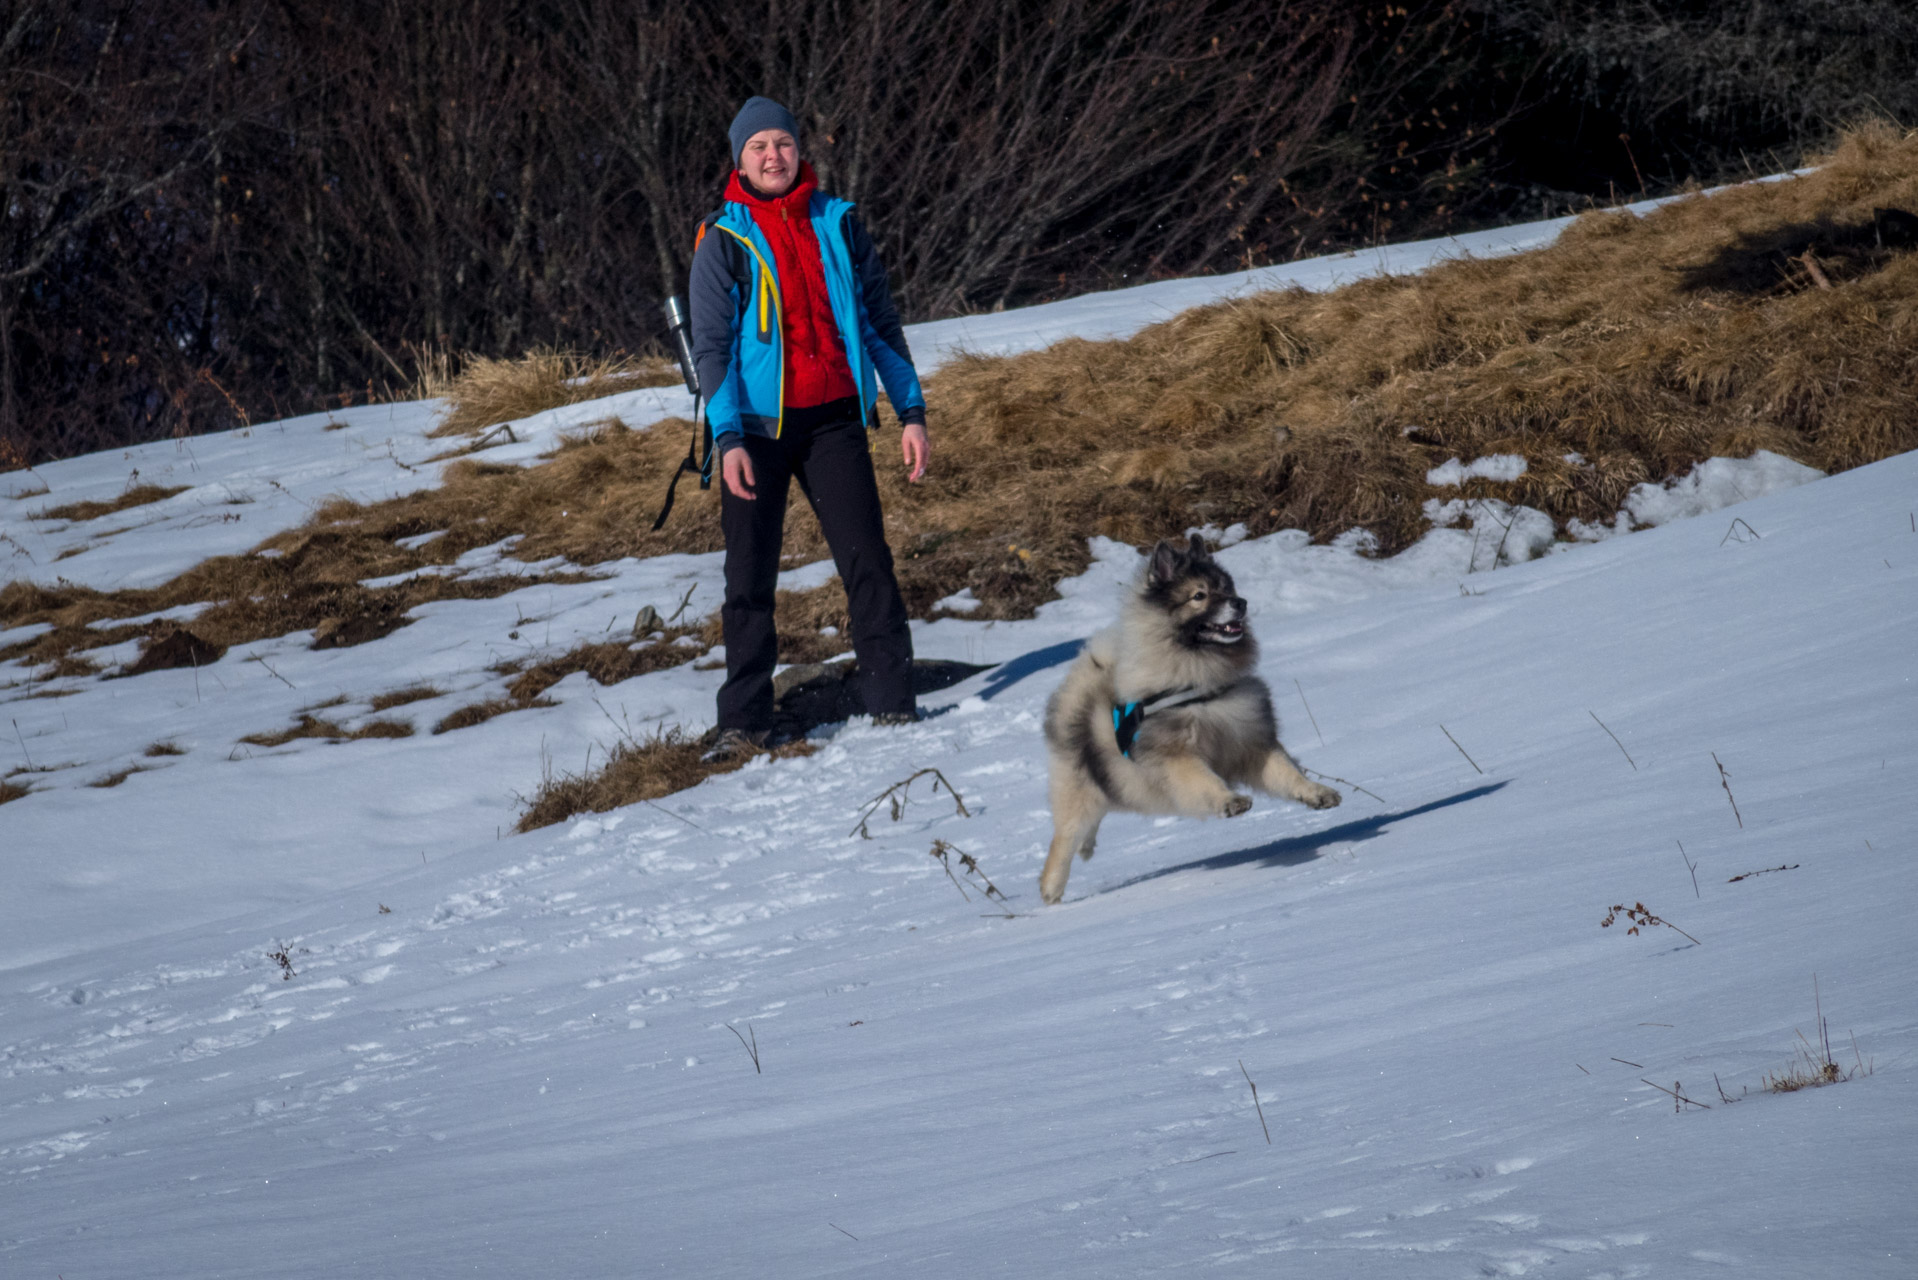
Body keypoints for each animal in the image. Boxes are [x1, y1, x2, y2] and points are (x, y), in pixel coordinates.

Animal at [1043, 537, 1342, 905]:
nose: (1241, 603)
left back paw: (1087, 848)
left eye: (1228, 588)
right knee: (1065, 838)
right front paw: (1230, 801)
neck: (1201, 686)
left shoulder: (1252, 743)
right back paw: (1051, 892)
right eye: (1199, 595)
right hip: (1079, 794)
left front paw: (1317, 793)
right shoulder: (1177, 757)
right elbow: (1205, 781)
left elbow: (1288, 773)